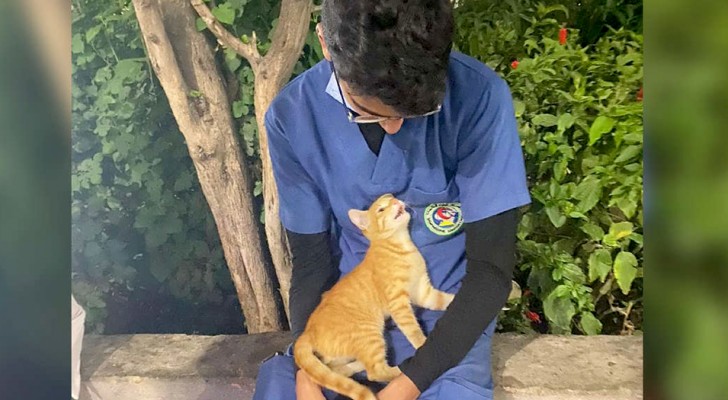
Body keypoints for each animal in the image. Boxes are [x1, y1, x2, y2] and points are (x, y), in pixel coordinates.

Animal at [292, 194, 452, 400]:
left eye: (393, 197)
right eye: (381, 209)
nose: (397, 202)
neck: (401, 247)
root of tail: (308, 331)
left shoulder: (423, 291)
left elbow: (442, 300)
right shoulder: (399, 303)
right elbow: (413, 330)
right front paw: (422, 344)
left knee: (335, 368)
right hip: (370, 335)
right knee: (374, 372)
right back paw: (400, 369)